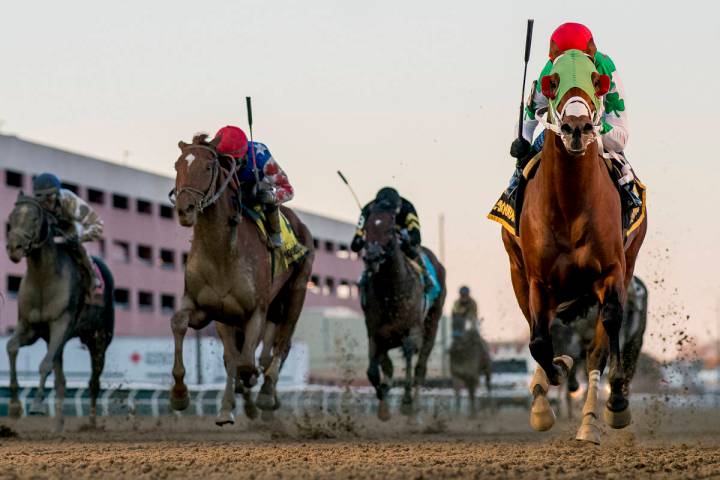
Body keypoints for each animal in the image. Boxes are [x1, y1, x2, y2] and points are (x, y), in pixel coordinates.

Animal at [4, 193, 114, 434]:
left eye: (35, 218)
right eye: (11, 218)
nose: (14, 247)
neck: (43, 279)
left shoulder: (61, 324)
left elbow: (44, 365)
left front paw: (36, 405)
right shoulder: (30, 328)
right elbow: (11, 347)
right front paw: (15, 407)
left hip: (99, 339)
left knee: (94, 381)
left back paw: (92, 423)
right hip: (58, 341)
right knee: (61, 380)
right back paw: (58, 425)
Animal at [172, 133, 316, 426]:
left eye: (208, 167)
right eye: (177, 166)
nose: (185, 209)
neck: (221, 253)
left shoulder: (256, 310)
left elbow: (246, 363)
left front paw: (254, 390)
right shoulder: (207, 309)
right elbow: (181, 324)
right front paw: (180, 394)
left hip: (295, 292)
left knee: (281, 344)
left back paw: (267, 393)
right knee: (241, 356)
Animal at [360, 206, 444, 420]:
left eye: (390, 230)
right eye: (366, 228)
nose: (372, 257)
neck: (391, 292)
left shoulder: (411, 331)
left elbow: (407, 355)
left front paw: (406, 402)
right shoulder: (375, 333)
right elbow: (373, 372)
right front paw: (383, 402)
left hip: (432, 325)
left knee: (420, 367)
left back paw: (415, 405)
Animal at [500, 50, 648, 444]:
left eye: (596, 81)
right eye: (553, 83)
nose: (577, 128)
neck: (571, 204)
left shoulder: (611, 273)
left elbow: (604, 340)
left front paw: (602, 412)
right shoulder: (538, 280)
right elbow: (539, 342)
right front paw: (548, 390)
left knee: (602, 346)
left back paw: (596, 416)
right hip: (517, 273)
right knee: (537, 330)